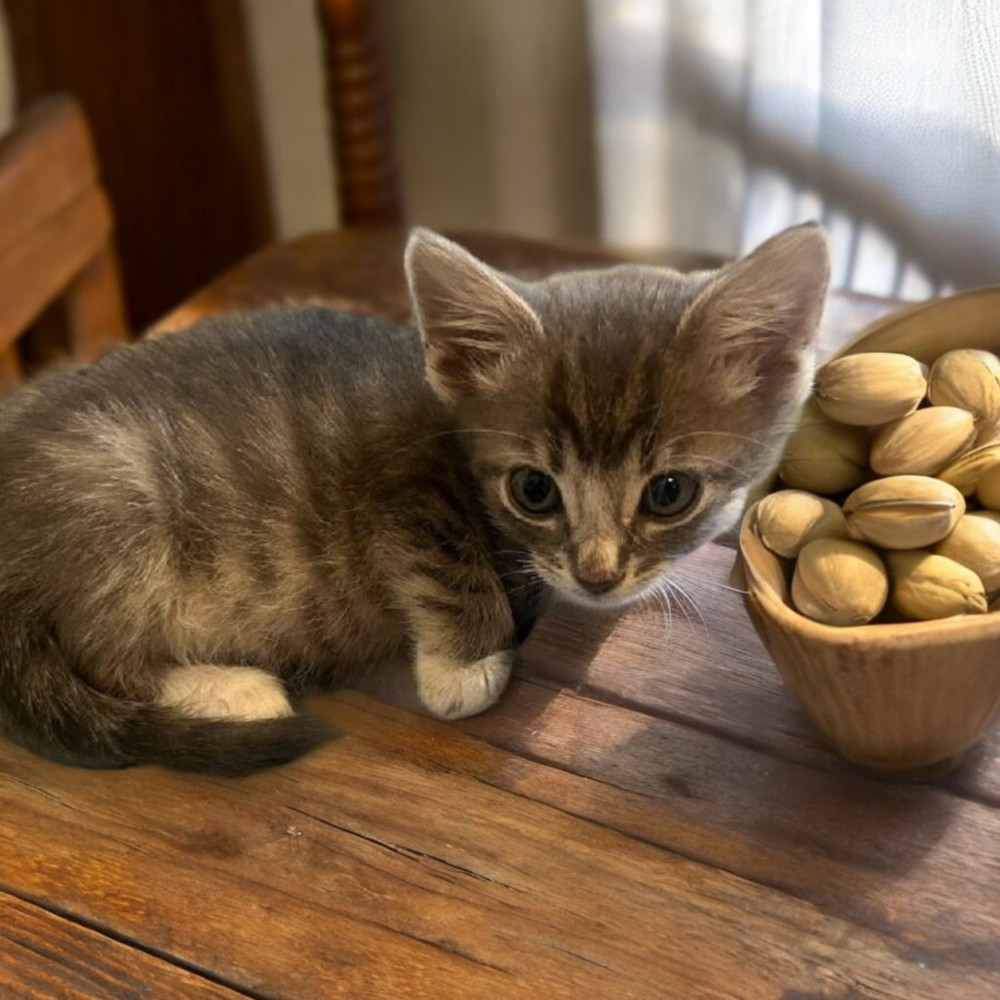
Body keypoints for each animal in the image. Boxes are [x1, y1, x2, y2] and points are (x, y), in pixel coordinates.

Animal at [0, 225, 828, 772]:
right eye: (534, 489)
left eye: (669, 493)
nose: (596, 576)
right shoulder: (394, 483)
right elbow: (446, 564)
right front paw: (465, 667)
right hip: (116, 494)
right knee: (104, 654)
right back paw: (232, 688)